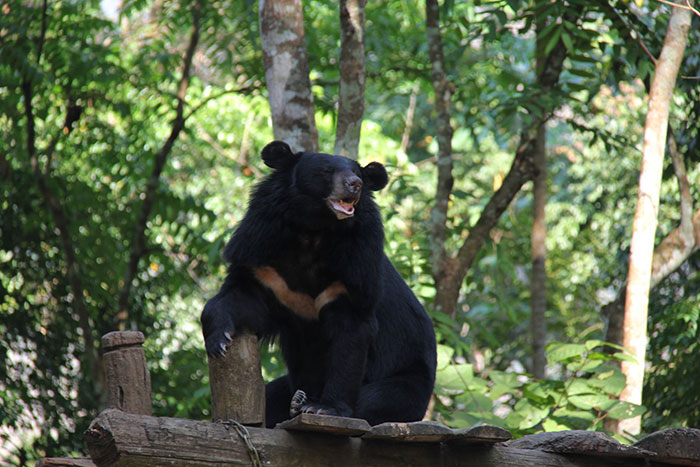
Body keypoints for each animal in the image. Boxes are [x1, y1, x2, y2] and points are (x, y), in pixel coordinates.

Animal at [200, 142, 434, 428]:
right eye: (326, 171)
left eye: (358, 173)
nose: (355, 184)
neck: (314, 230)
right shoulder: (264, 258)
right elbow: (242, 299)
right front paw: (220, 341)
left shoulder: (356, 268)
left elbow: (351, 336)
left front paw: (324, 408)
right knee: (271, 395)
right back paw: (295, 400)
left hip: (408, 381)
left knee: (378, 398)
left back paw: (303, 403)